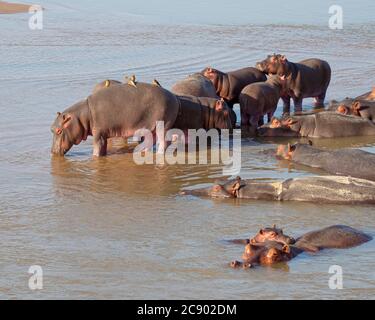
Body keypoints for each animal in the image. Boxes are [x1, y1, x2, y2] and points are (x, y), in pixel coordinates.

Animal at [51, 81, 181, 156]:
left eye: (59, 130)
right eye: (51, 129)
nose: (52, 151)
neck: (81, 116)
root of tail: (173, 97)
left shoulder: (98, 134)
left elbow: (97, 148)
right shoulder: (103, 135)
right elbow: (103, 148)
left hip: (163, 125)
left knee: (164, 141)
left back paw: (159, 154)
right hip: (151, 127)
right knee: (151, 140)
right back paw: (142, 151)